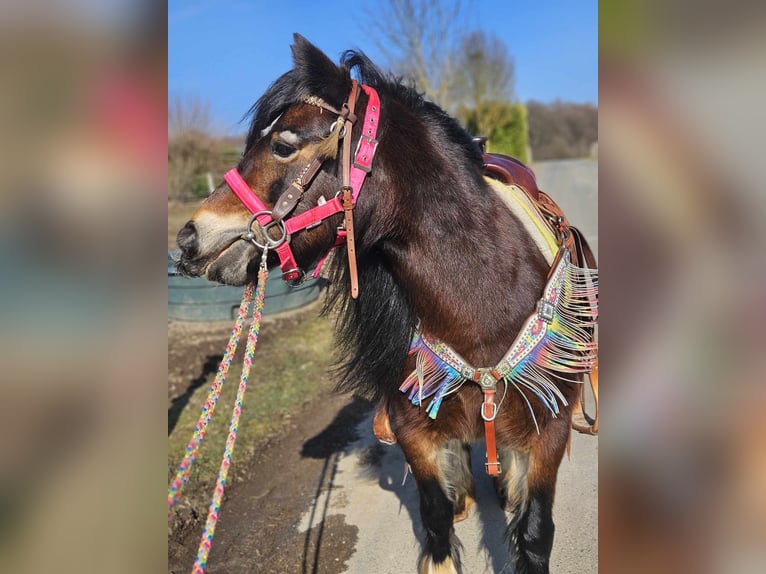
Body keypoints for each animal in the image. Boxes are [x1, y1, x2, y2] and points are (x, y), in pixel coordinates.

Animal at [177, 36, 596, 574]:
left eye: (284, 145)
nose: (189, 238)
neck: (484, 313)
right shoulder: (413, 429)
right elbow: (435, 517)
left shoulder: (549, 433)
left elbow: (535, 532)